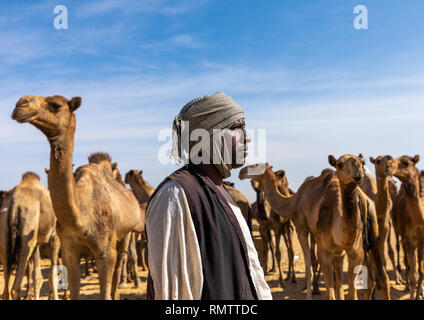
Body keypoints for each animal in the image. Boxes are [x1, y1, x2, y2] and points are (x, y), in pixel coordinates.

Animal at [0, 172, 60, 300]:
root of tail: (14, 204)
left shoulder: (36, 243)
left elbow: (37, 278)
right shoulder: (54, 237)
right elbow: (52, 276)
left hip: (4, 233)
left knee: (6, 290)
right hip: (26, 235)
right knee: (15, 288)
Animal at [12, 95, 143, 300]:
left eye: (56, 105)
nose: (21, 104)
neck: (81, 218)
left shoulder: (106, 253)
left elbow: (105, 291)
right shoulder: (69, 251)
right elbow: (73, 289)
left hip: (126, 234)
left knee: (120, 262)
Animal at [386, 155, 424, 300]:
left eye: (407, 163)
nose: (388, 165)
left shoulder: (422, 240)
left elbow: (421, 270)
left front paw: (420, 293)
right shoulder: (411, 238)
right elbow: (414, 274)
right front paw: (414, 294)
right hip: (399, 230)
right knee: (405, 258)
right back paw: (406, 284)